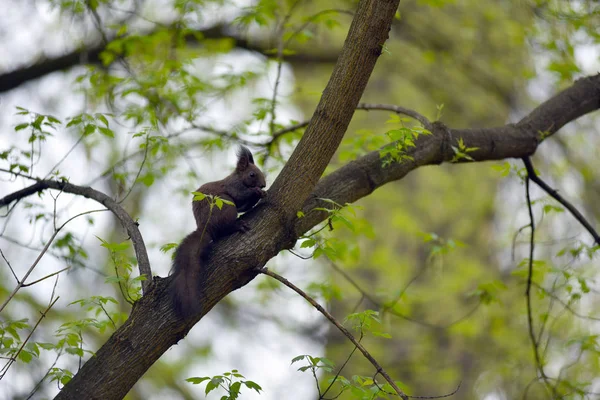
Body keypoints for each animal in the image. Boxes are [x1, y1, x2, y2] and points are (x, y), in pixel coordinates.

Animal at [170, 145, 266, 318]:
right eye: (252, 174)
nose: (263, 185)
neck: (238, 178)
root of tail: (204, 228)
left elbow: (245, 206)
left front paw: (262, 194)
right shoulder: (233, 188)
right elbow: (240, 196)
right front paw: (256, 192)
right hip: (225, 206)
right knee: (223, 229)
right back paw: (237, 226)